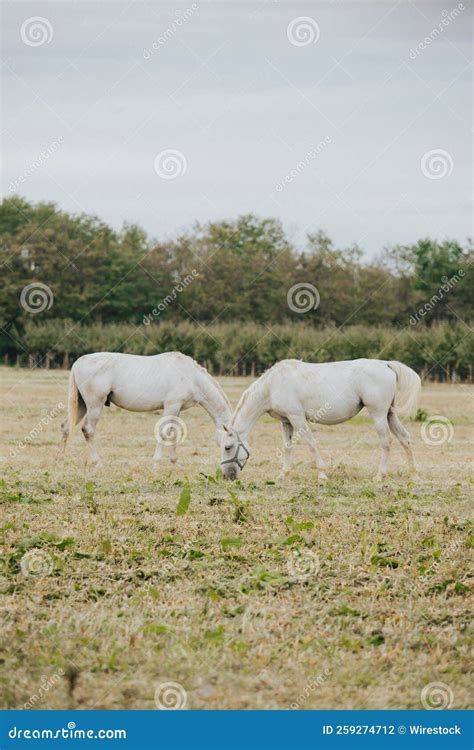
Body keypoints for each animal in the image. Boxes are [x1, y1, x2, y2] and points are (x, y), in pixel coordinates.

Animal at [61, 352, 231, 468]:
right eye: (228, 446)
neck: (191, 377)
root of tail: (78, 362)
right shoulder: (171, 406)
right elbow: (164, 432)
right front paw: (156, 462)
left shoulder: (177, 409)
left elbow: (174, 432)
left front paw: (174, 461)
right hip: (94, 406)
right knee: (88, 430)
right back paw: (97, 462)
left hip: (81, 406)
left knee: (65, 427)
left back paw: (61, 457)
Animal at [220, 360, 420, 488]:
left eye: (228, 447)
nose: (227, 476)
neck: (273, 385)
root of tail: (385, 364)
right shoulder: (286, 422)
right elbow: (287, 447)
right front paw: (283, 474)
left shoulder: (297, 418)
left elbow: (311, 444)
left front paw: (322, 475)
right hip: (389, 414)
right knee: (405, 439)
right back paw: (413, 475)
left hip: (378, 414)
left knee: (386, 442)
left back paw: (379, 476)